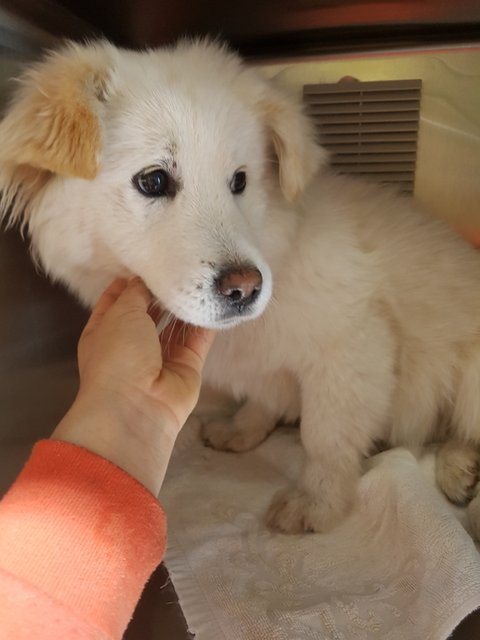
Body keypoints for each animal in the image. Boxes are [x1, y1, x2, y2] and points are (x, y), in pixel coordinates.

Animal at [1, 40, 479, 535]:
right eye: (153, 180)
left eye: (240, 181)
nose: (246, 288)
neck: (277, 248)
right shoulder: (267, 366)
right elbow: (264, 399)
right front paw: (243, 430)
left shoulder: (353, 349)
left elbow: (324, 437)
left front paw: (317, 503)